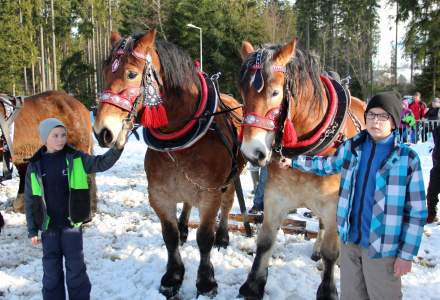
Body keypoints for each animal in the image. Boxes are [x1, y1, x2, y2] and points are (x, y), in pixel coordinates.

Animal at [93, 29, 244, 298]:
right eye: (105, 72)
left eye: (131, 74)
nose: (103, 132)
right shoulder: (159, 194)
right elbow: (170, 235)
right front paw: (173, 277)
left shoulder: (210, 194)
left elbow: (205, 237)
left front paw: (206, 281)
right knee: (186, 204)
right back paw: (184, 227)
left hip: (231, 179)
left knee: (226, 206)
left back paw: (223, 237)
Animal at [237, 39, 364, 300]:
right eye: (242, 93)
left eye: (275, 93)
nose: (252, 152)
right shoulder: (276, 197)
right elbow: (265, 241)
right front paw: (253, 284)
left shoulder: (333, 204)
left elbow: (331, 250)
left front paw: (327, 290)